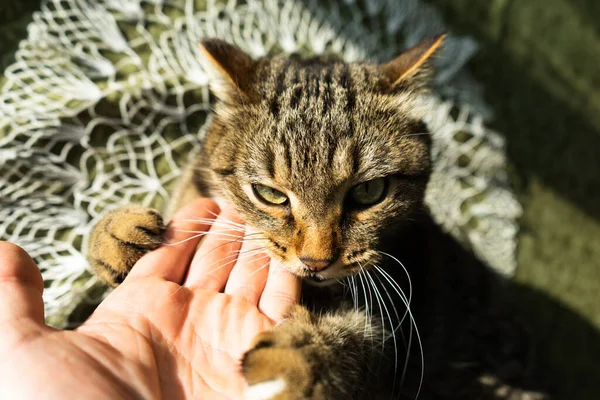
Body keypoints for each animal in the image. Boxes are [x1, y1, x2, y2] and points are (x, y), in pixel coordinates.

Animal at [88, 36, 544, 398]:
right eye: (271, 194)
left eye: (368, 192)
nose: (316, 261)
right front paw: (114, 233)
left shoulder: (399, 333)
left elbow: (355, 340)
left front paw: (295, 357)